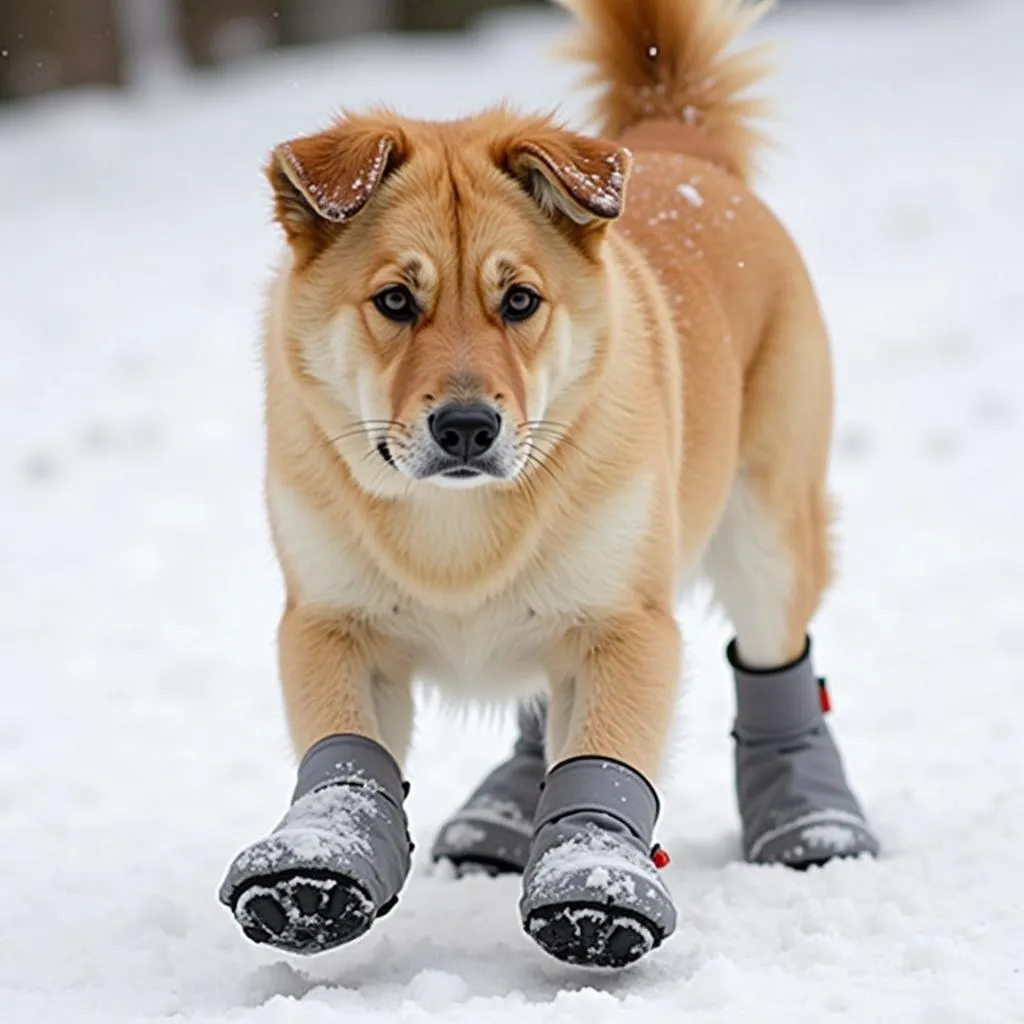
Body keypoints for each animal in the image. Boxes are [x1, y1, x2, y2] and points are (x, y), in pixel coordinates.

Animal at [220, 0, 876, 962]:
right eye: (395, 301)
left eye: (519, 300)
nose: (466, 426)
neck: (456, 529)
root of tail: (678, 141)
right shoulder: (329, 620)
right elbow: (348, 752)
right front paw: (317, 866)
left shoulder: (625, 624)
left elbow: (603, 759)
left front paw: (592, 882)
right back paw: (495, 820)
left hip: (766, 531)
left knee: (775, 653)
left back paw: (811, 822)